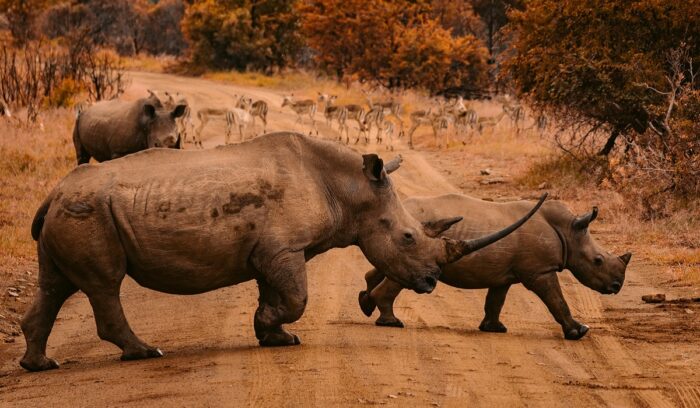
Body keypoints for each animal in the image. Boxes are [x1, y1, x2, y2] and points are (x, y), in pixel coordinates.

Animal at [20, 133, 546, 371]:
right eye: (408, 238)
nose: (431, 283)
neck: (349, 189)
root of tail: (51, 193)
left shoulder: (274, 250)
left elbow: (275, 293)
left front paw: (273, 336)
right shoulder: (284, 248)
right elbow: (296, 297)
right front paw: (273, 328)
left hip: (73, 209)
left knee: (55, 285)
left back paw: (40, 365)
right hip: (89, 211)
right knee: (104, 285)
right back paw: (145, 353)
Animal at [358, 194, 632, 340]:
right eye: (597, 261)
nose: (617, 286)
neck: (568, 231)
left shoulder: (504, 275)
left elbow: (495, 301)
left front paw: (494, 329)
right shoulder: (540, 271)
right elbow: (557, 300)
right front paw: (579, 332)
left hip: (402, 236)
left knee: (386, 266)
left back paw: (366, 304)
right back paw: (392, 322)